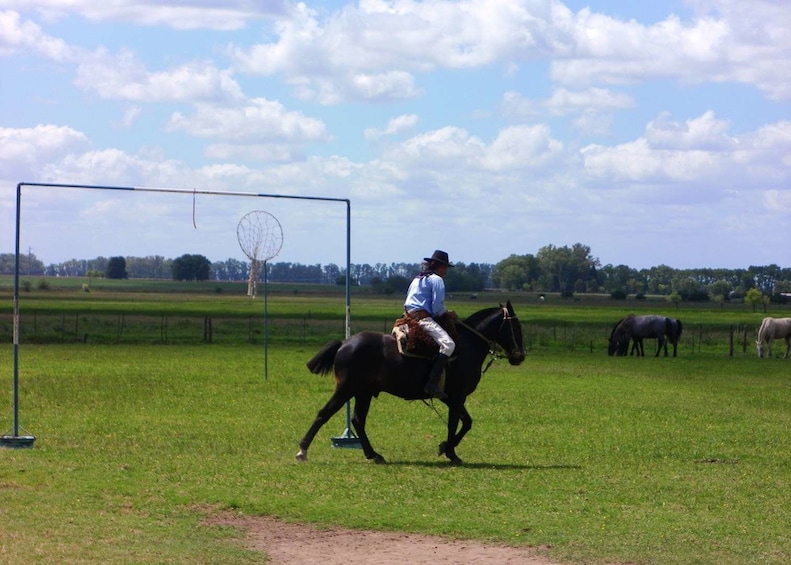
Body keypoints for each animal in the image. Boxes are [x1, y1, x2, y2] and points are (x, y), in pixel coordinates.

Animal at [296, 300, 524, 462]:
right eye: (516, 327)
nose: (519, 357)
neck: (467, 345)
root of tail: (345, 343)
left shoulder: (452, 399)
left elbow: (455, 424)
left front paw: (448, 450)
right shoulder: (456, 397)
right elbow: (466, 422)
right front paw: (448, 450)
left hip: (364, 392)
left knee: (358, 420)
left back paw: (374, 454)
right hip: (347, 389)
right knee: (324, 413)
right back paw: (302, 450)